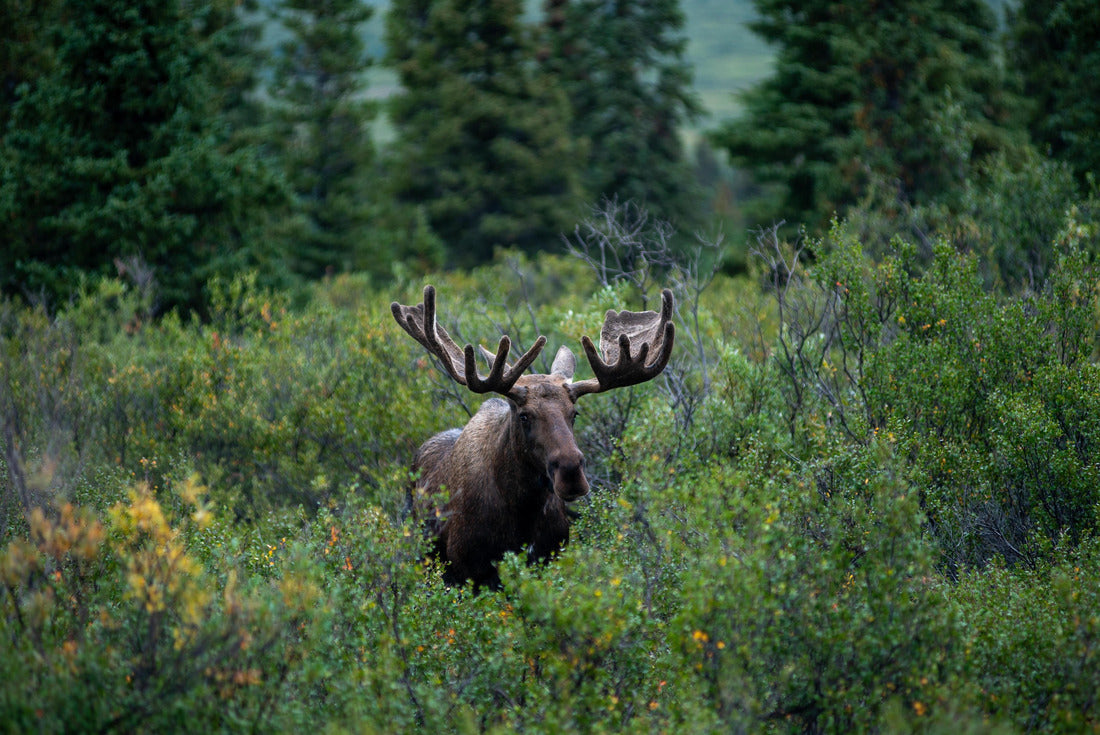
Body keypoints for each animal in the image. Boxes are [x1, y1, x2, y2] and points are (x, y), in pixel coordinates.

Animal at [391, 285, 675, 589]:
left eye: (574, 413)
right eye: (524, 415)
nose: (571, 472)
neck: (521, 509)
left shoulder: (548, 558)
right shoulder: (470, 569)